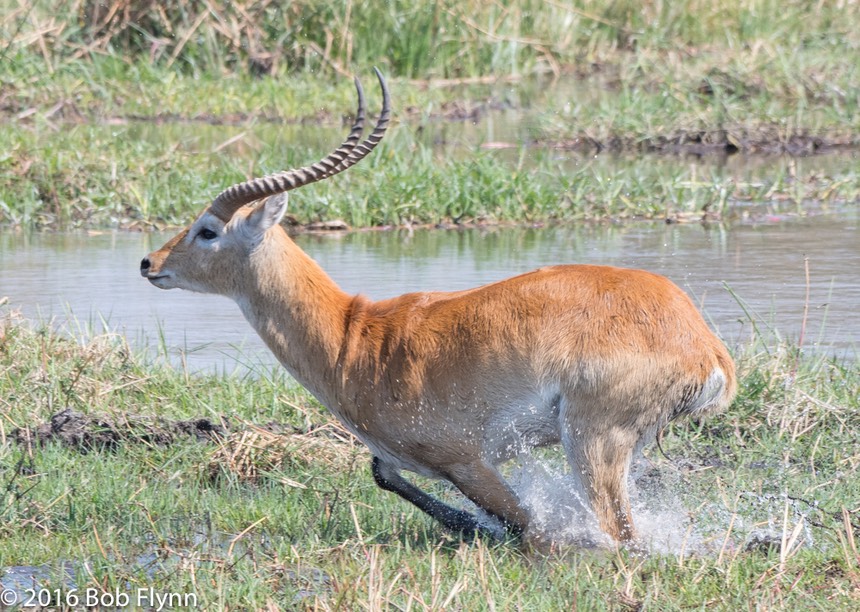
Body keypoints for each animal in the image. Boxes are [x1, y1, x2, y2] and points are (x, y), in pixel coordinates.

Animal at [138, 69, 736, 548]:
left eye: (207, 230)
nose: (149, 262)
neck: (355, 339)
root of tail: (705, 347)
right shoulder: (405, 459)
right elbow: (384, 473)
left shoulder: (465, 459)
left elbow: (527, 525)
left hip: (591, 442)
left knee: (620, 535)